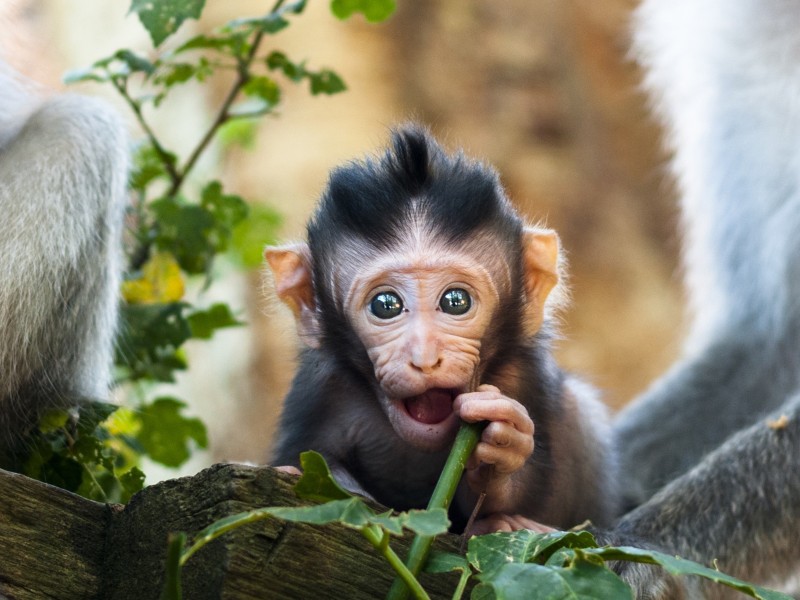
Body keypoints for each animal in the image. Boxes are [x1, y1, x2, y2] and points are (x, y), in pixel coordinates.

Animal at [265, 125, 618, 532]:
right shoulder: (321, 390)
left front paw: (504, 449)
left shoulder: (522, 377)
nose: (425, 357)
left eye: (455, 301)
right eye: (385, 306)